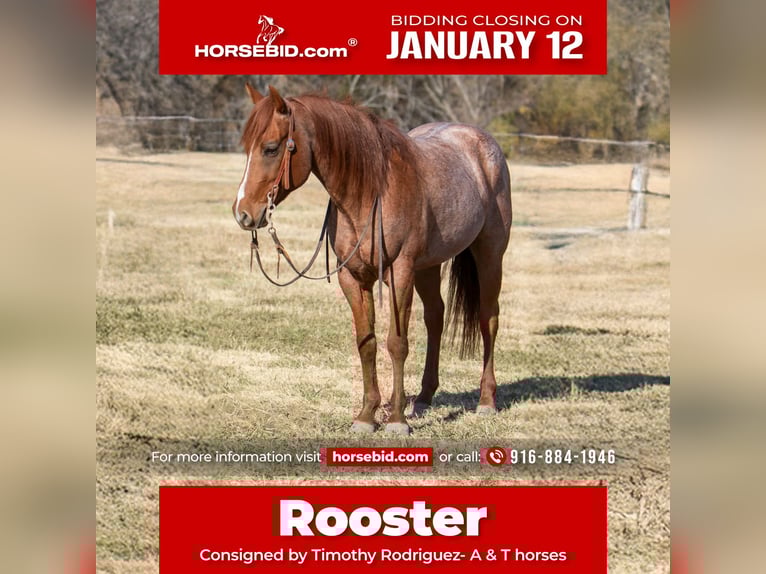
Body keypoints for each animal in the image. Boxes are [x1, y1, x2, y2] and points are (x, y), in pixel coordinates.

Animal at [233, 84, 512, 434]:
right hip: (428, 267)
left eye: (271, 149)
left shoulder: (400, 272)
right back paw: (422, 399)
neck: (369, 193)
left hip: (489, 254)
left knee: (489, 318)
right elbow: (366, 342)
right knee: (435, 318)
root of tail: (483, 142)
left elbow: (396, 343)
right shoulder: (352, 277)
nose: (242, 213)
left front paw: (396, 421)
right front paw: (368, 415)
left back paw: (486, 401)